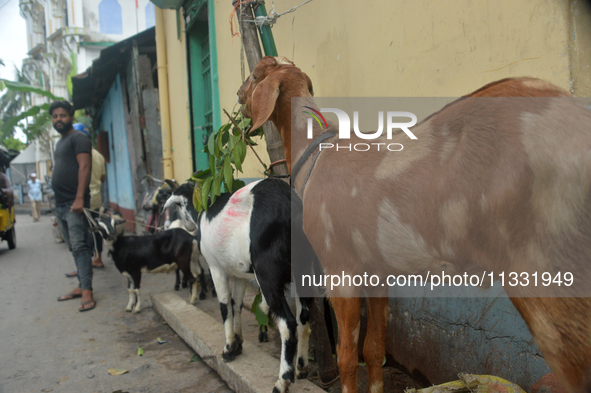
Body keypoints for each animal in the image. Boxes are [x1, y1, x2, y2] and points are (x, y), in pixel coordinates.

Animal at [162, 178, 310, 392]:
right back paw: (301, 368)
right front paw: (239, 344)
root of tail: (291, 207)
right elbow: (237, 304)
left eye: (177, 207)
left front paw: (229, 348)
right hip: (302, 269)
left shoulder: (216, 268)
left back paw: (283, 380)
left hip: (267, 274)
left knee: (288, 323)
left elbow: (225, 307)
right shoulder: (239, 274)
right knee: (304, 317)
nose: (188, 227)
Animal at [238, 56, 591, 392]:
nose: (240, 95)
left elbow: (348, 357)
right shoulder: (376, 270)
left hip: (546, 273)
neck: (315, 156)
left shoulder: (341, 268)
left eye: (254, 76)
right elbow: (374, 350)